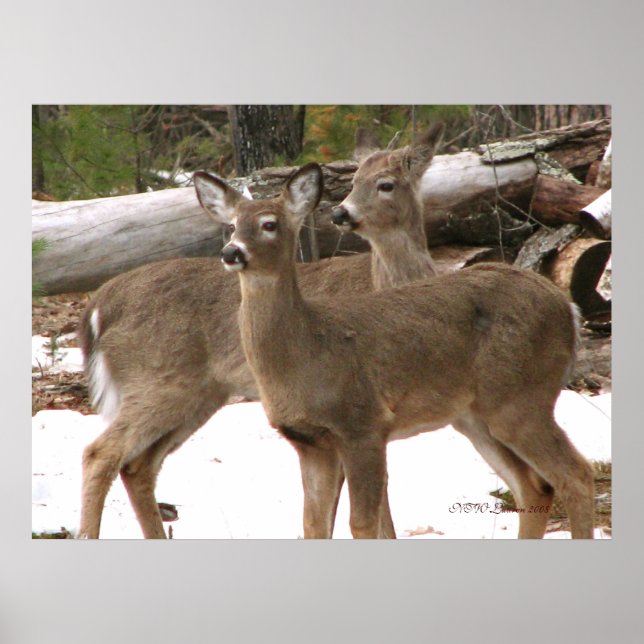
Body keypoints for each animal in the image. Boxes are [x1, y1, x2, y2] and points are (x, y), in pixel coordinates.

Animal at [76, 125, 446, 539]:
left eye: (386, 184)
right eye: (353, 181)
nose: (341, 212)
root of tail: (98, 306)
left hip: (200, 394)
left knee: (138, 465)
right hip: (156, 382)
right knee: (102, 453)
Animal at [210, 160, 595, 539]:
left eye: (269, 224)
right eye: (231, 225)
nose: (231, 252)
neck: (306, 351)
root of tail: (569, 309)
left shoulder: (362, 423)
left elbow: (362, 524)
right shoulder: (310, 443)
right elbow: (312, 526)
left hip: (522, 397)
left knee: (576, 474)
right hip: (476, 416)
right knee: (534, 487)